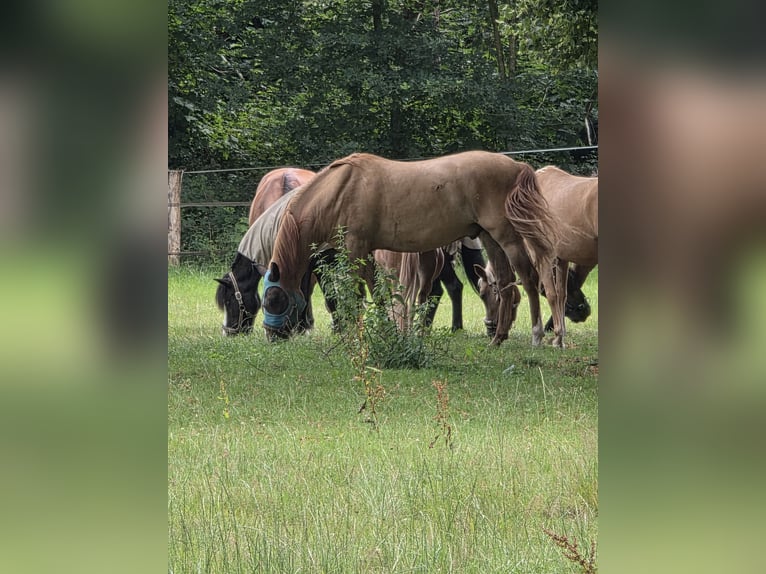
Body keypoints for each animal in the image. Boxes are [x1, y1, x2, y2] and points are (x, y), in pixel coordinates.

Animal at [262, 151, 563, 346]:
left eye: (273, 300)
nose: (270, 335)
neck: (339, 189)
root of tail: (517, 165)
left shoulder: (354, 249)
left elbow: (356, 295)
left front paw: (353, 337)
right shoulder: (367, 252)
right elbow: (377, 294)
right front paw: (387, 333)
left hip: (506, 235)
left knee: (528, 278)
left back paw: (537, 335)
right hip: (489, 237)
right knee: (505, 280)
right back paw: (498, 338)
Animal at [475, 165, 597, 346]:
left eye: (484, 294)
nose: (490, 329)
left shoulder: (541, 257)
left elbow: (551, 293)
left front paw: (556, 336)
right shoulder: (561, 258)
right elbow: (561, 294)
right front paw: (559, 338)